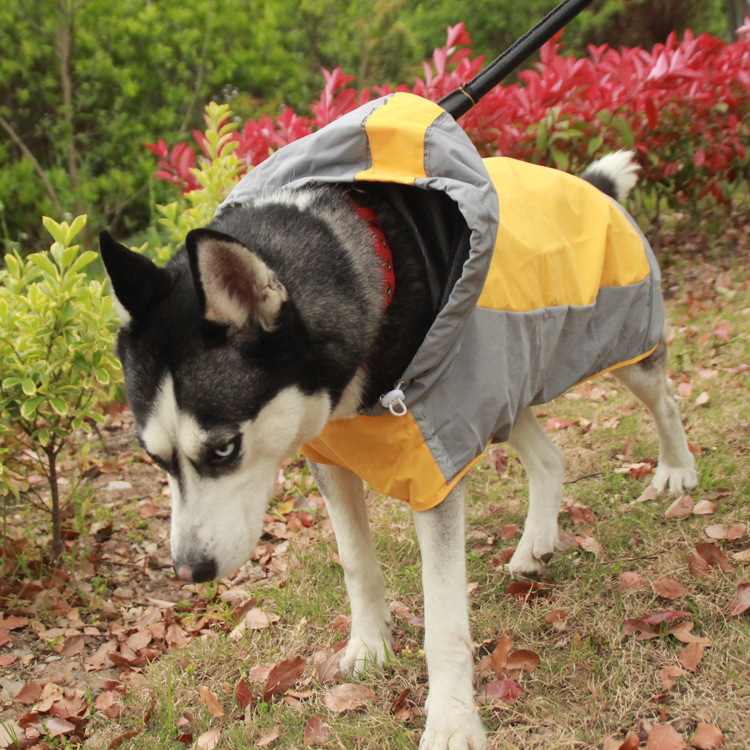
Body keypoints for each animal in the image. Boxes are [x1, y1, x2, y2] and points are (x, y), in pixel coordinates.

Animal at [101, 95, 700, 750]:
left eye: (225, 449)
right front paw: (369, 647)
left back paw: (675, 471)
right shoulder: (331, 458)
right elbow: (357, 565)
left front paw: (452, 718)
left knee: (665, 401)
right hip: (502, 386)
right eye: (155, 459)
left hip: (622, 347)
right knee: (550, 458)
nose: (190, 572)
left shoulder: (436, 469)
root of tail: (590, 184)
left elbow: (443, 618)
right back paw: (535, 543)